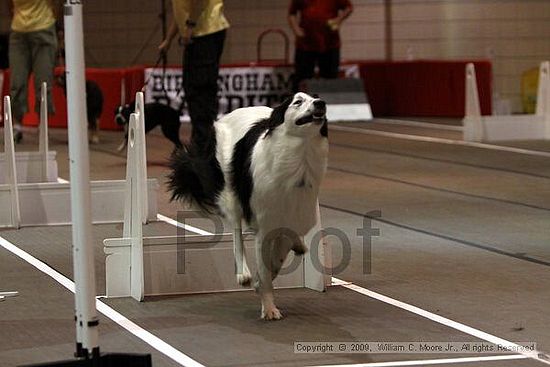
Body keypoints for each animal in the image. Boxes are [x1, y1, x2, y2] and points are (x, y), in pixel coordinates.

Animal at [168, 93, 330, 320]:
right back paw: (243, 274)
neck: (300, 155)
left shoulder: (295, 214)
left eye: (316, 98)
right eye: (297, 101)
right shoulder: (263, 225)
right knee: (236, 233)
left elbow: (279, 255)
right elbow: (264, 267)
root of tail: (231, 113)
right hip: (231, 194)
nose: (321, 103)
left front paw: (267, 279)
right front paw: (268, 306)